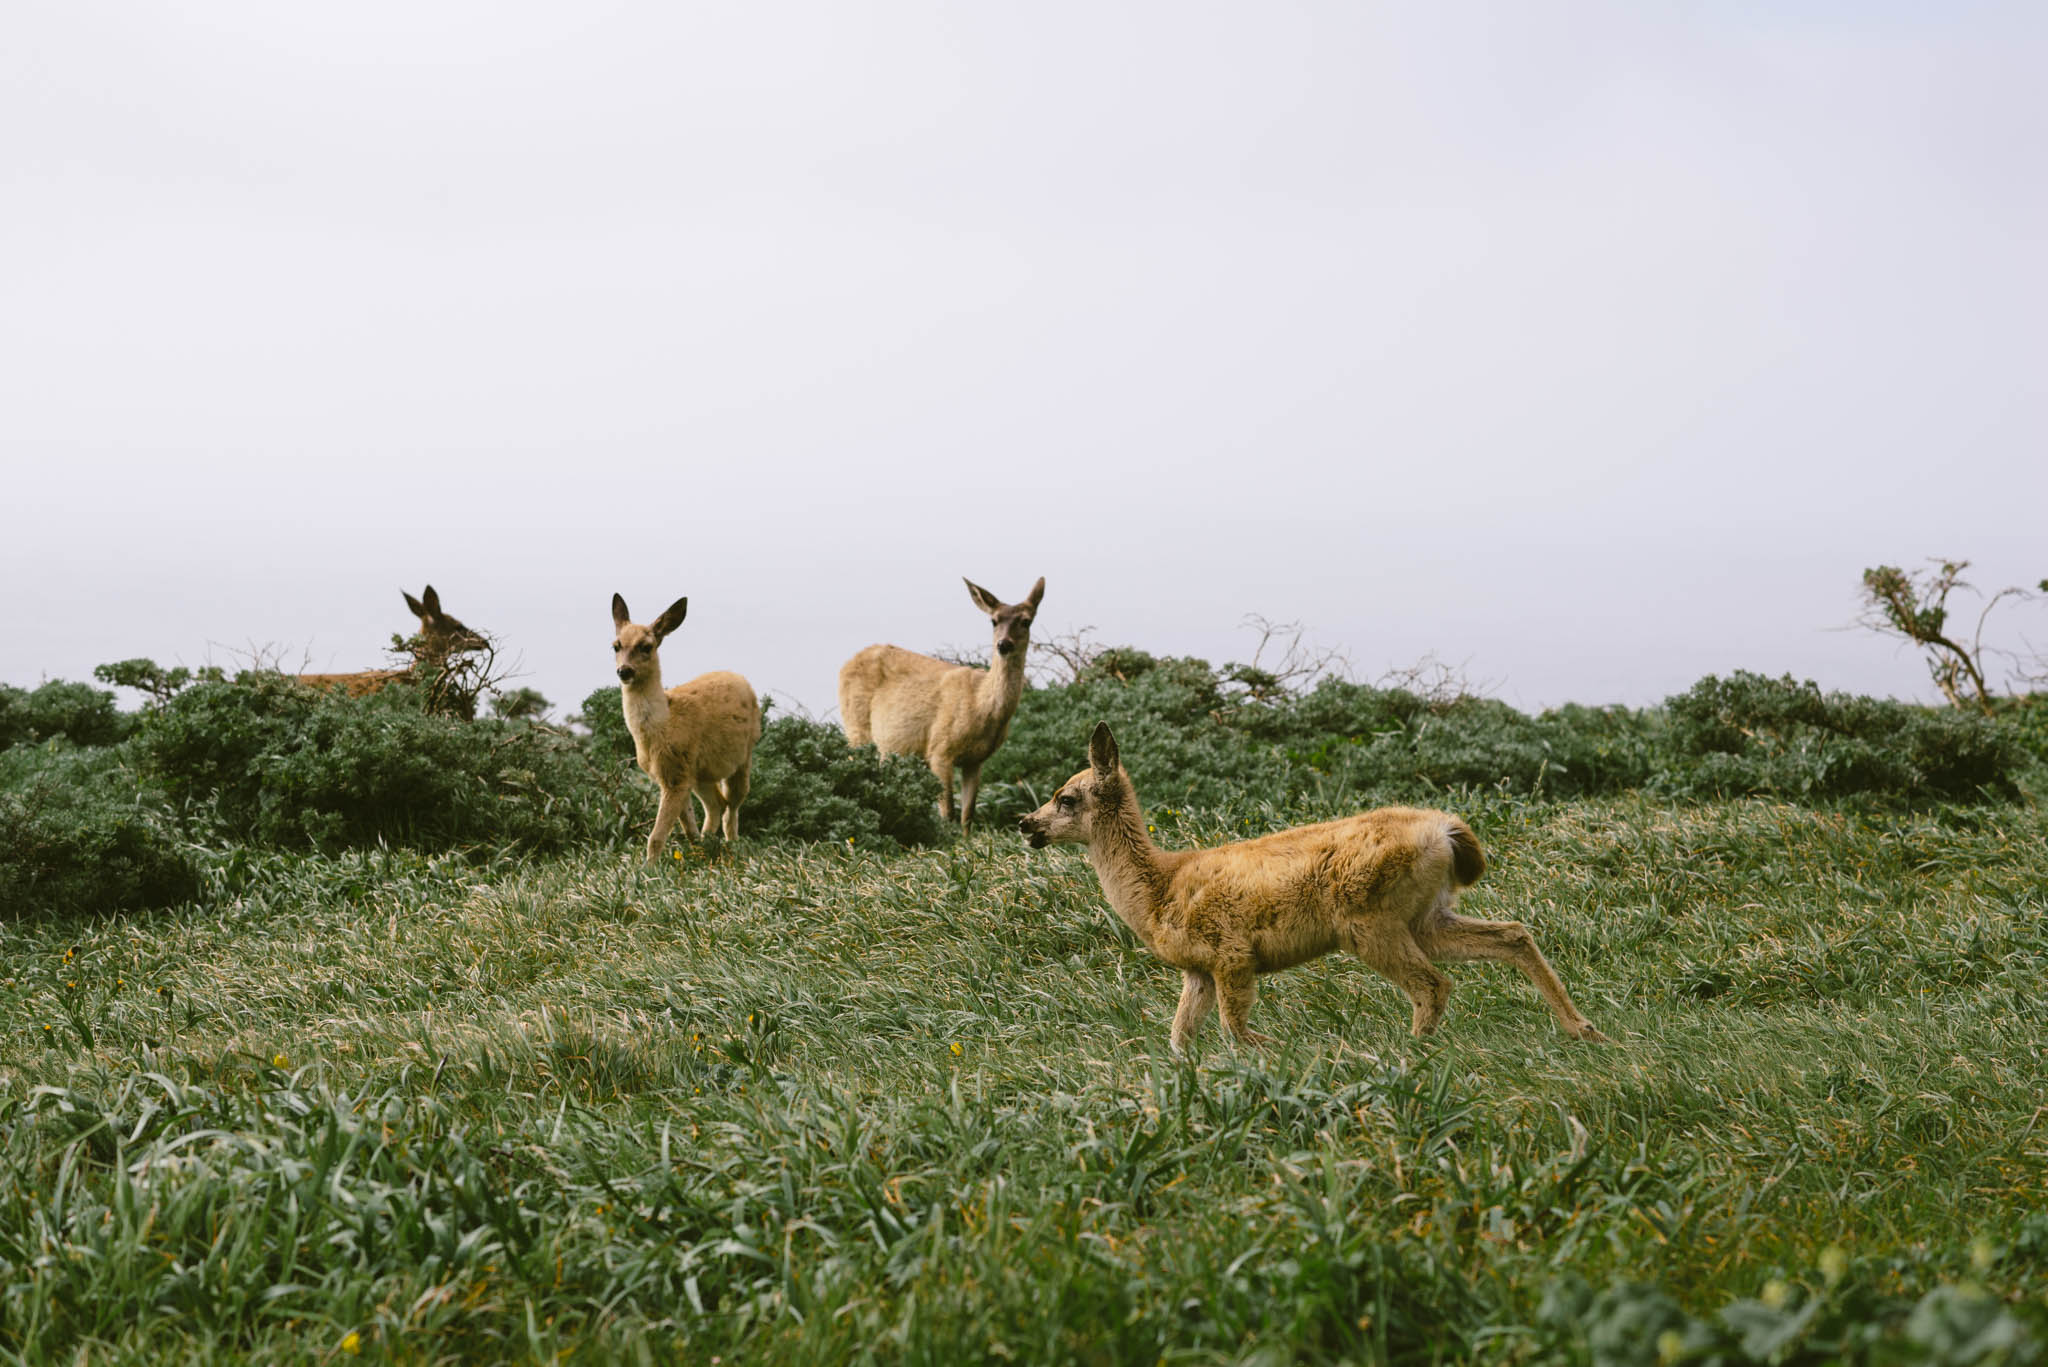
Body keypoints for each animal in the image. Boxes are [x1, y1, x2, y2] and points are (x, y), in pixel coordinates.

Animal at [614, 590, 770, 864]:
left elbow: (656, 836)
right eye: (616, 645)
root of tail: (739, 677)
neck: (662, 725)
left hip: (744, 755)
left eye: (646, 646)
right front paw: (696, 851)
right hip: (702, 772)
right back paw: (709, 843)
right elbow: (686, 825)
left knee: (734, 803)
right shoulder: (675, 773)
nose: (624, 670)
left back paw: (732, 845)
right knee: (717, 804)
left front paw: (648, 868)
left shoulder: (676, 774)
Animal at [839, 573, 1048, 827]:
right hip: (856, 726)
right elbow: (947, 811)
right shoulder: (939, 749)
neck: (982, 707)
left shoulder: (975, 761)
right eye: (994, 620)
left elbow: (967, 814)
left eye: (1026, 621)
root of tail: (846, 664)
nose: (1004, 644)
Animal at [1015, 721, 1605, 1057]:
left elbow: (1232, 1027)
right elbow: (1179, 1036)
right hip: (1424, 915)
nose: (1026, 824)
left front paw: (1284, 1050)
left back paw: (1407, 1056)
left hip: (1368, 918)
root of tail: (1445, 829)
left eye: (1066, 797)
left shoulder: (1231, 953)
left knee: (1433, 984)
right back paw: (1582, 1029)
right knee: (1511, 933)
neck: (1160, 891)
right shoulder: (1197, 970)